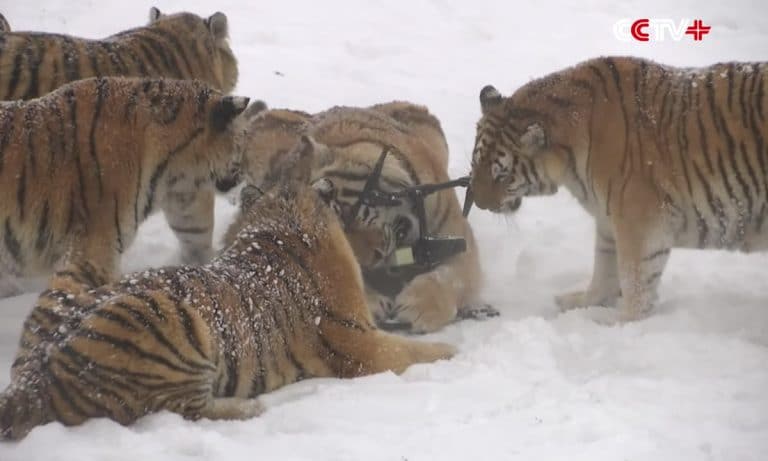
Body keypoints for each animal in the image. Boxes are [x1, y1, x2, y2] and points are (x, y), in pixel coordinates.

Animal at [0, 138, 456, 440]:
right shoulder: (359, 341)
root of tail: (36, 378)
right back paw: (249, 407)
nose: (380, 248)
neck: (281, 218)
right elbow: (415, 352)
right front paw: (453, 353)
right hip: (172, 330)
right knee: (180, 410)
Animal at [468, 55, 768, 322]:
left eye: (502, 176)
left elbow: (636, 282)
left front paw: (616, 324)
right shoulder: (608, 219)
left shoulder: (641, 221)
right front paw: (583, 303)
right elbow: (604, 269)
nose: (480, 204)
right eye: (475, 163)